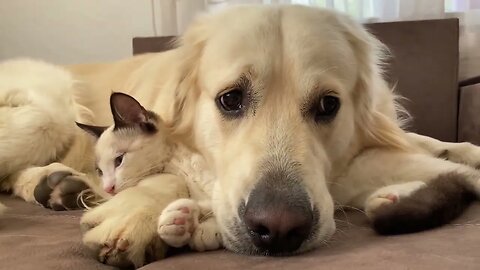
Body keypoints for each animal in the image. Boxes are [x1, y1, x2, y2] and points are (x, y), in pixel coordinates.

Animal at [0, 4, 480, 268]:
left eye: (329, 106)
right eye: (230, 99)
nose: (279, 229)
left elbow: (428, 145)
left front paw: (461, 152)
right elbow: (167, 173)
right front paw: (132, 217)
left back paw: (55, 183)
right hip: (47, 112)